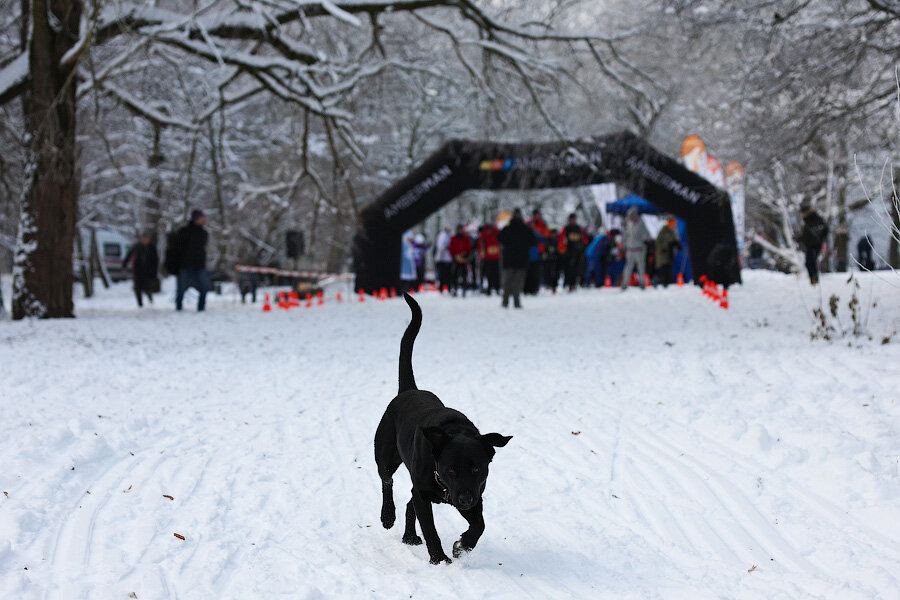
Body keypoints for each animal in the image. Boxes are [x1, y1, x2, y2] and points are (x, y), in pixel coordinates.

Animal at [374, 292, 512, 564]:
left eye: (477, 468)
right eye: (450, 470)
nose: (465, 499)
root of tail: (409, 390)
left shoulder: (474, 493)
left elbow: (479, 525)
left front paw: (462, 546)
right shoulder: (427, 492)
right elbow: (430, 528)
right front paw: (439, 558)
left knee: (408, 504)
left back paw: (409, 537)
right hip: (385, 454)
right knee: (387, 481)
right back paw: (387, 516)